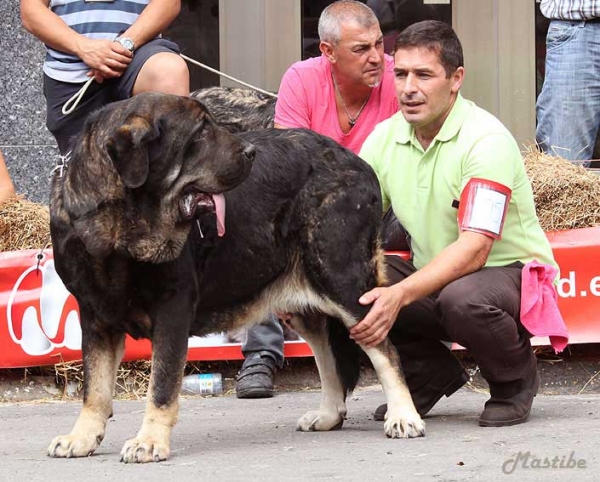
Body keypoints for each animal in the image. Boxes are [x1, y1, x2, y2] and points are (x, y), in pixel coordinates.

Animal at [48, 91, 422, 464]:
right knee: (327, 351)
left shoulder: (172, 312)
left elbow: (162, 386)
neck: (119, 229)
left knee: (383, 349)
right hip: (304, 299)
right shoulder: (95, 318)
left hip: (342, 280)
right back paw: (329, 415)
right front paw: (81, 437)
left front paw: (149, 441)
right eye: (200, 132)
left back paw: (403, 416)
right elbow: (95, 388)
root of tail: (359, 162)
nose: (250, 152)